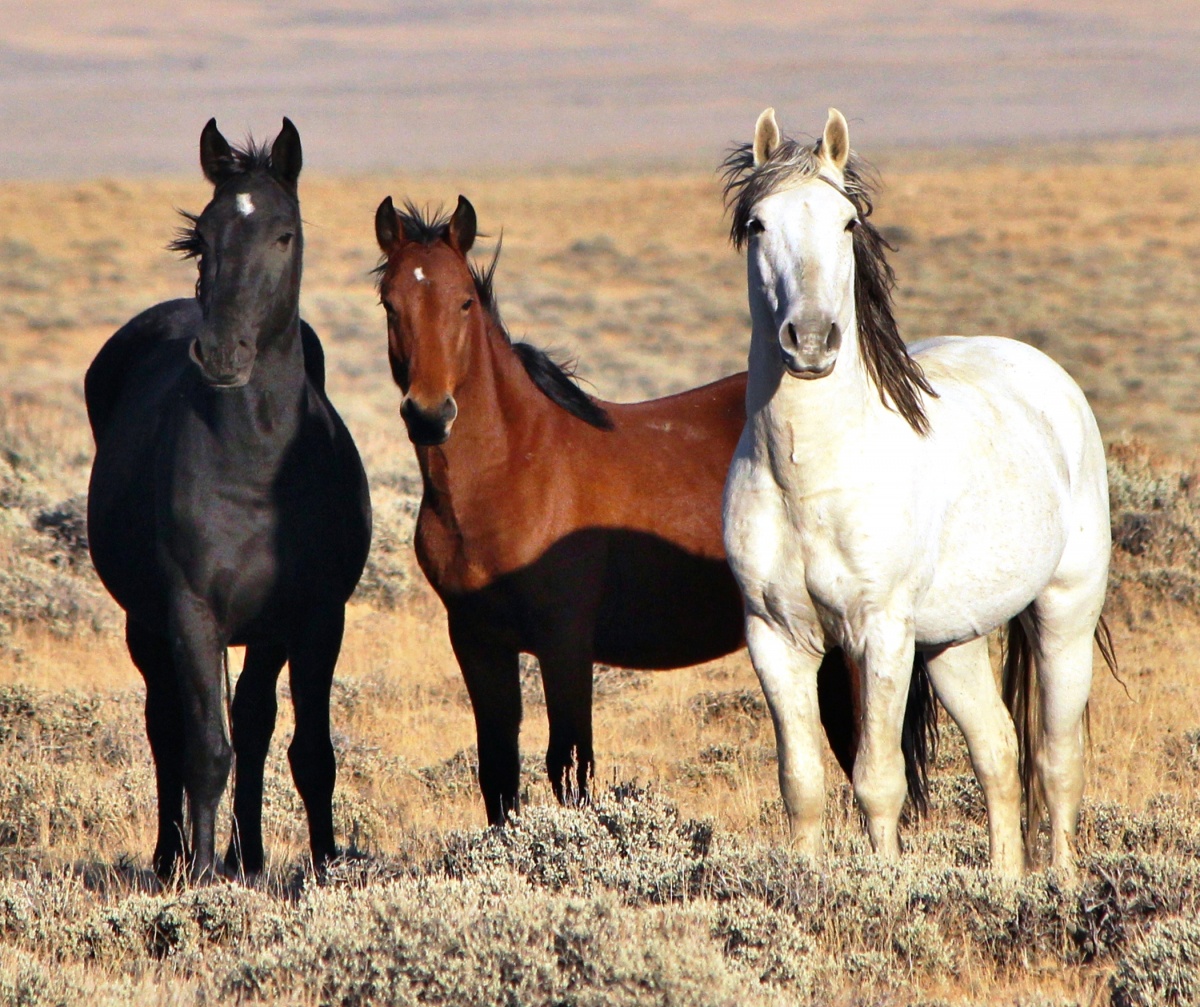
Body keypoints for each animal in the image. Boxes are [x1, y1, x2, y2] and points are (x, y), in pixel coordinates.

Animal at [85, 118, 369, 883]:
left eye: (284, 234)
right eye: (205, 235)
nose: (220, 354)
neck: (258, 467)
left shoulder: (313, 618)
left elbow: (308, 751)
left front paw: (321, 866)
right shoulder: (191, 612)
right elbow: (206, 750)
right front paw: (204, 876)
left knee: (254, 722)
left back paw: (252, 854)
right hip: (146, 623)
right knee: (166, 727)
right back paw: (171, 856)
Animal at [374, 194, 936, 825]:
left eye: (464, 301)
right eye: (390, 303)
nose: (429, 414)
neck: (511, 473)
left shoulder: (564, 643)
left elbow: (569, 768)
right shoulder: (477, 643)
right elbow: (498, 775)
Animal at [715, 104, 1108, 873]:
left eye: (846, 223)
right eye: (759, 224)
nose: (811, 340)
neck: (809, 478)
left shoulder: (882, 633)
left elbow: (878, 781)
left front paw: (887, 884)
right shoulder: (774, 637)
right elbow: (802, 784)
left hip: (1063, 615)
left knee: (1056, 761)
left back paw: (1061, 883)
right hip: (954, 641)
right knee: (998, 752)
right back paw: (1006, 883)